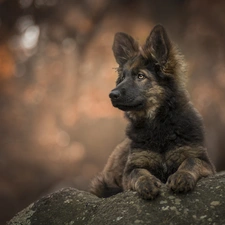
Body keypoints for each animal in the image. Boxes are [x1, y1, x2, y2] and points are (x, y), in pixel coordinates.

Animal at [89, 24, 214, 200]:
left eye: (140, 76)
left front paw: (182, 177)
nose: (112, 95)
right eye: (122, 77)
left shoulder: (203, 161)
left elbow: (191, 161)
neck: (158, 124)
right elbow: (138, 173)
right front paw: (147, 183)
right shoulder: (132, 168)